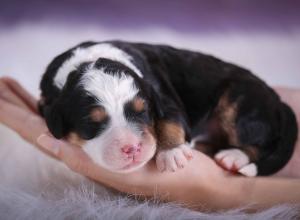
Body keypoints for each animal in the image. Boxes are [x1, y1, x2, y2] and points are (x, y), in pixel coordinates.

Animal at [39, 40, 298, 176]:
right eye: (92, 123)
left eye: (143, 112)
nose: (132, 148)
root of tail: (278, 101)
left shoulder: (164, 98)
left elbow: (170, 121)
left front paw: (172, 153)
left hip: (240, 100)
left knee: (259, 143)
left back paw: (232, 156)